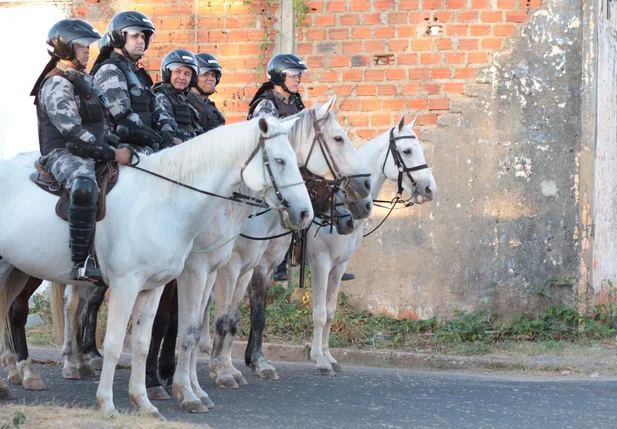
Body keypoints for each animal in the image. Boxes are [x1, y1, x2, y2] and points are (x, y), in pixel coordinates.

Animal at [0, 116, 310, 414]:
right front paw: (109, 403)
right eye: (280, 160)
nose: (305, 213)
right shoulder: (132, 284)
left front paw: (144, 401)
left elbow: (142, 342)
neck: (161, 201)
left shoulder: (155, 286)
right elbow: (116, 343)